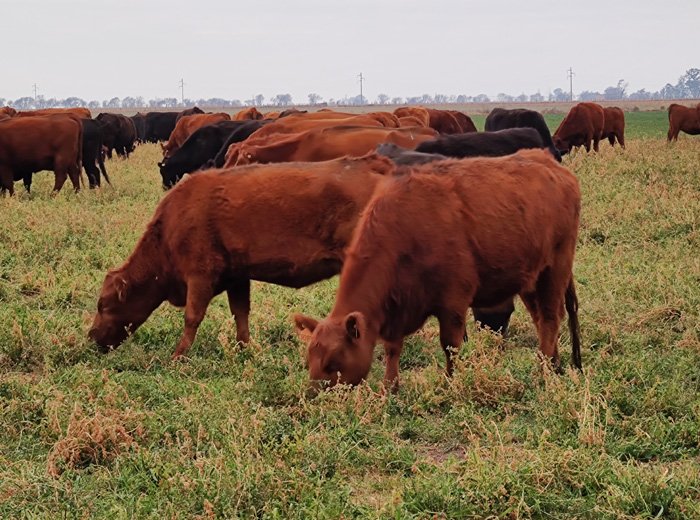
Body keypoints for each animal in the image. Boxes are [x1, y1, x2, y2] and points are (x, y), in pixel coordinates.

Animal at [86, 154, 400, 358]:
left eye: (103, 304)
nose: (91, 337)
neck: (170, 227)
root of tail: (373, 163)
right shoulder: (237, 277)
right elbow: (241, 313)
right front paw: (244, 349)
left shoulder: (200, 276)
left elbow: (192, 317)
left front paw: (178, 356)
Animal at [292, 148, 584, 392]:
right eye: (310, 361)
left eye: (333, 363)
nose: (312, 394)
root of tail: (548, 162)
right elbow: (392, 349)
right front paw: (390, 387)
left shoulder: (453, 301)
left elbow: (450, 346)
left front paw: (450, 381)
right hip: (530, 278)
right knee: (542, 318)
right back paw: (555, 364)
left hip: (555, 269)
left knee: (550, 317)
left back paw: (544, 368)